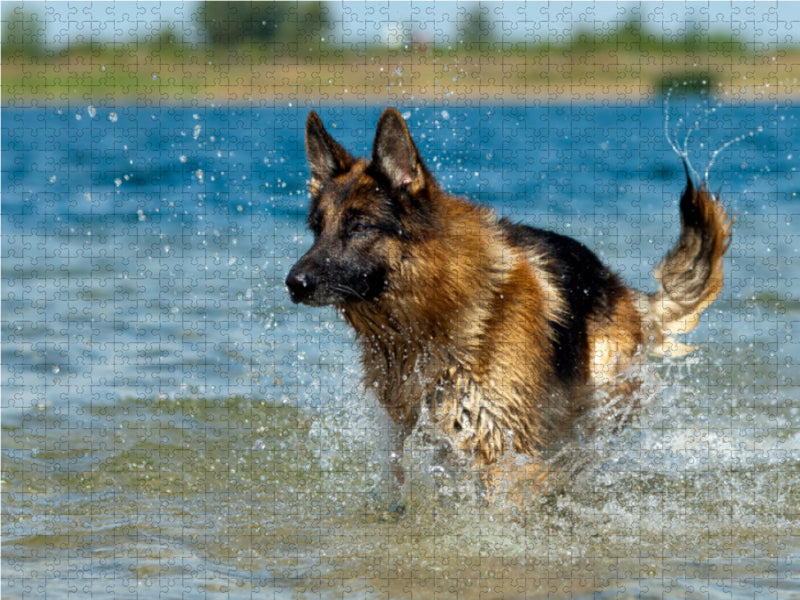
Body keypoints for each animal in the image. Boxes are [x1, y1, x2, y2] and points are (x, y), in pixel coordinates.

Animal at [288, 108, 732, 480]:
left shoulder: (500, 443)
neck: (433, 314)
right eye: (317, 228)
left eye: (360, 227)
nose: (294, 283)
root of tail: (615, 282)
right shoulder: (419, 438)